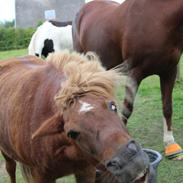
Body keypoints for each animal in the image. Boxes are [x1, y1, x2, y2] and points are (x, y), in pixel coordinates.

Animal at [0, 50, 150, 183]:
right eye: (72, 133)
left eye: (113, 106)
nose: (131, 162)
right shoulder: (41, 177)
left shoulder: (86, 171)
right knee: (10, 169)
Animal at [72, 0, 183, 159]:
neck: (158, 17)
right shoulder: (134, 73)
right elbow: (127, 109)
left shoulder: (169, 71)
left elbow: (167, 107)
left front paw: (170, 145)